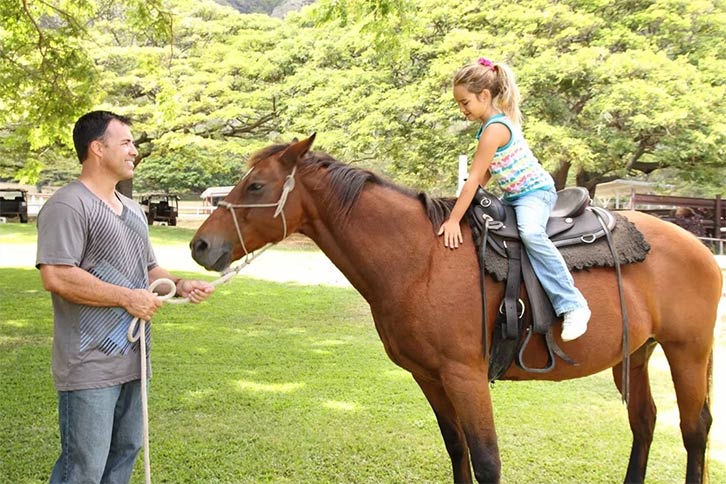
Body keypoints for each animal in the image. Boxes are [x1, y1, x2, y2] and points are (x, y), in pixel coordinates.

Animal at [189, 136, 724, 484]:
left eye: (256, 187)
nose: (200, 246)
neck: (421, 260)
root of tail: (697, 245)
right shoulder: (429, 376)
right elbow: (456, 449)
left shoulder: (465, 376)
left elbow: (487, 461)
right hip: (635, 353)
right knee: (645, 422)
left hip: (687, 350)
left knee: (694, 429)